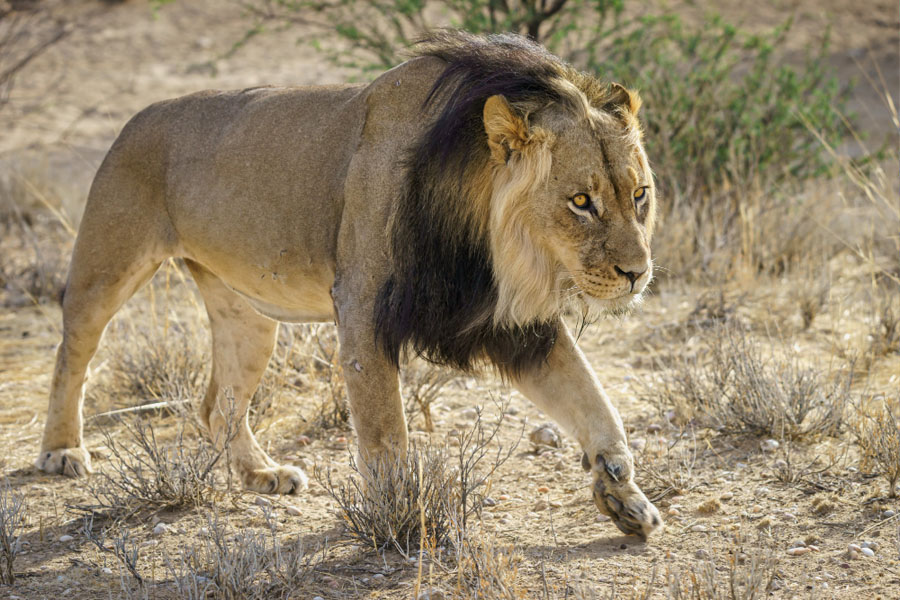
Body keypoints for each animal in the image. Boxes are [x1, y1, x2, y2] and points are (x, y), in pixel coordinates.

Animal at [37, 30, 660, 540]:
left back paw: (262, 473)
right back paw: (62, 452)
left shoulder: (508, 322)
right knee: (73, 355)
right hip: (106, 265)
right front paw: (403, 519)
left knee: (217, 404)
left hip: (246, 317)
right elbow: (386, 435)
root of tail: (136, 116)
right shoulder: (361, 305)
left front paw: (623, 492)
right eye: (580, 202)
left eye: (639, 195)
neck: (484, 242)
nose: (637, 273)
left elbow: (593, 400)